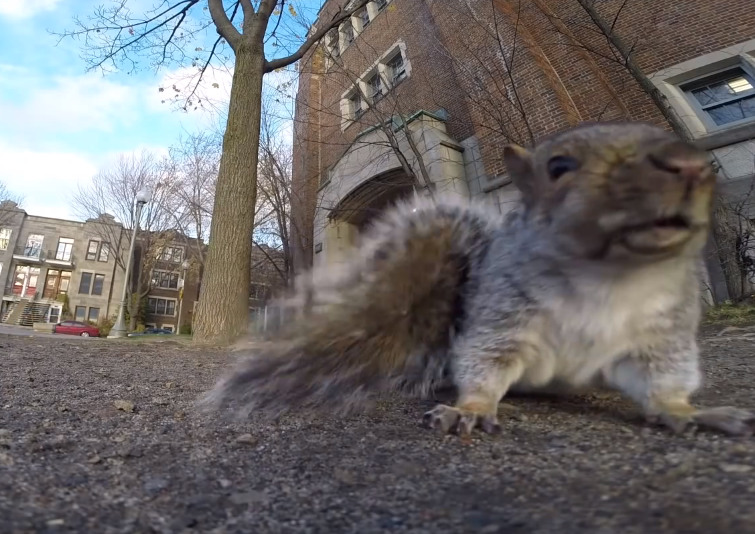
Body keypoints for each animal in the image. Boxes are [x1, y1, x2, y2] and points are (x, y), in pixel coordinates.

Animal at [199, 121, 754, 437]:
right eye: (559, 166)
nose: (689, 166)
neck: (607, 277)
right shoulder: (503, 320)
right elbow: (486, 365)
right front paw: (468, 408)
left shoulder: (659, 336)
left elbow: (663, 381)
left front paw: (687, 412)